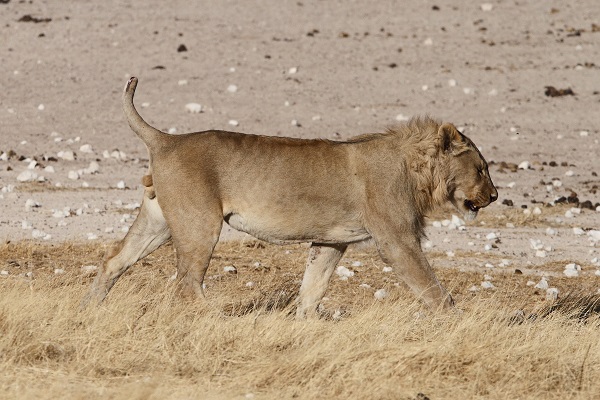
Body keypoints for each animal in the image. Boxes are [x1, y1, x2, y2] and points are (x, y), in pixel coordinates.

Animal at [82, 76, 500, 318]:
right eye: (481, 168)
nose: (495, 195)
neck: (415, 170)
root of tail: (166, 139)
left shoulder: (331, 241)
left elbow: (312, 288)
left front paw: (307, 325)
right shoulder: (397, 241)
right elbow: (432, 288)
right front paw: (459, 325)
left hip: (159, 223)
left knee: (114, 260)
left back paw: (90, 313)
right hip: (198, 224)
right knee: (186, 283)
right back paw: (220, 321)